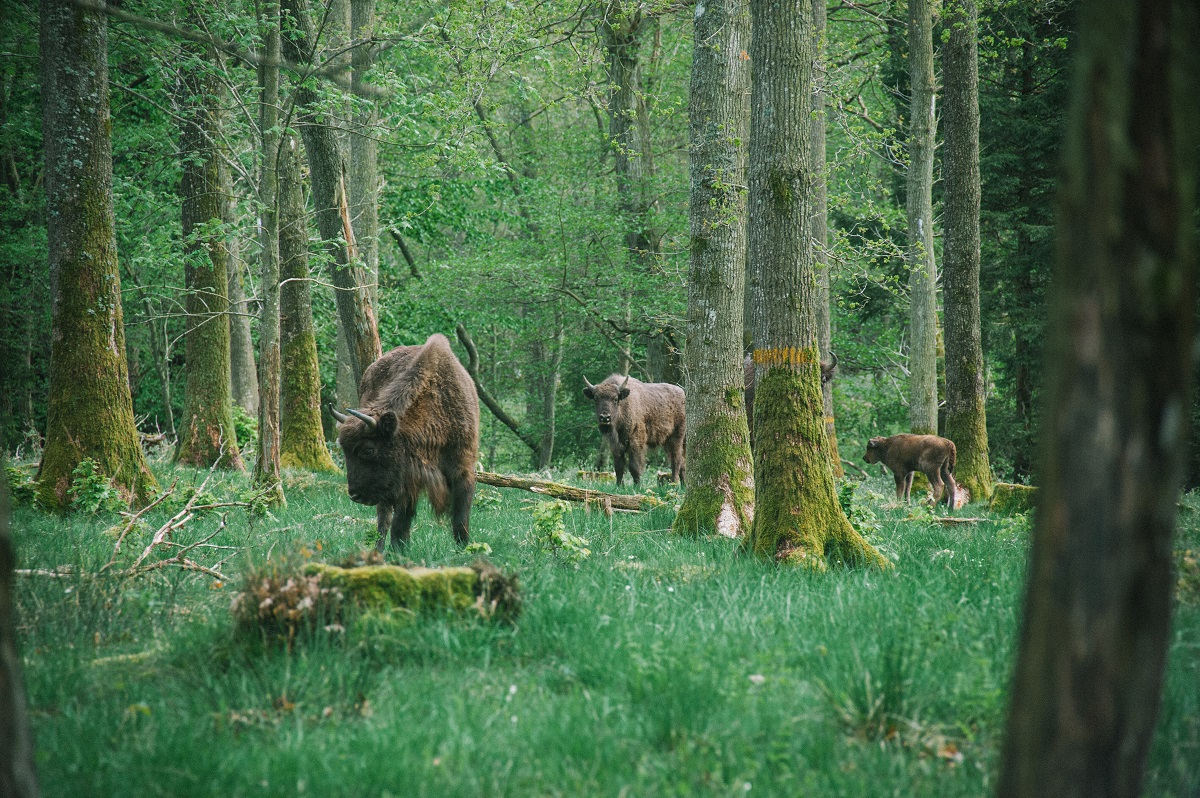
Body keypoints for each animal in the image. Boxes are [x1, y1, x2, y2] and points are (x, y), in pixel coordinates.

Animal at [331, 333, 480, 552]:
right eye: (345, 451)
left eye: (368, 450)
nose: (355, 495)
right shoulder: (407, 481)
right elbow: (400, 521)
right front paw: (398, 549)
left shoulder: (463, 469)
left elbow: (461, 518)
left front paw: (464, 548)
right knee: (384, 518)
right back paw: (380, 548)